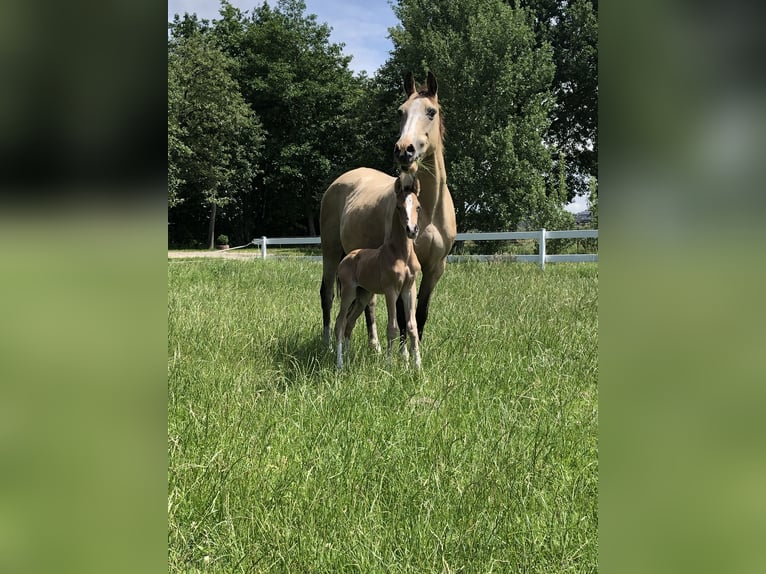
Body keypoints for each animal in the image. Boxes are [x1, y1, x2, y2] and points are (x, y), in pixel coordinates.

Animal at [320, 72, 456, 352]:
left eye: (431, 111)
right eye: (400, 111)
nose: (404, 150)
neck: (428, 212)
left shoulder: (435, 268)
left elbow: (420, 313)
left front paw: (416, 349)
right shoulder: (402, 267)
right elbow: (403, 316)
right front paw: (404, 352)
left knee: (367, 302)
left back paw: (374, 345)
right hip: (330, 252)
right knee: (327, 295)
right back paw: (328, 343)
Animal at [332, 173, 424, 372]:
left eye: (418, 206)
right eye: (399, 207)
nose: (412, 230)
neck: (401, 255)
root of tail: (345, 258)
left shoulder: (409, 289)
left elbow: (412, 327)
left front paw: (418, 367)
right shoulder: (391, 290)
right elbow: (393, 327)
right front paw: (389, 365)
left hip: (363, 295)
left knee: (350, 323)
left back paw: (348, 358)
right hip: (349, 292)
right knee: (340, 323)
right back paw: (340, 363)